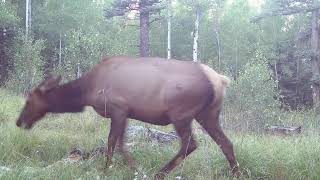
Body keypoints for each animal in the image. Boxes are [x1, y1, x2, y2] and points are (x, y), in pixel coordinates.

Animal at [15, 56, 240, 179]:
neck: (88, 91)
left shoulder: (118, 109)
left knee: (190, 144)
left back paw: (159, 174)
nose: (19, 121)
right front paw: (133, 169)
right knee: (226, 143)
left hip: (181, 114)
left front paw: (109, 170)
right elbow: (121, 144)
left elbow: (113, 142)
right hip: (209, 114)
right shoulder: (125, 113)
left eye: (29, 100)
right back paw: (237, 174)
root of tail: (220, 80)